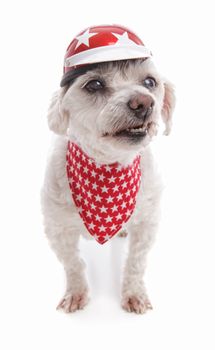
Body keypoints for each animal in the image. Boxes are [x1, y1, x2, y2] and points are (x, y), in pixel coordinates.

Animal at [41, 25, 176, 314]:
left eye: (150, 82)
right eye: (94, 84)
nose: (143, 102)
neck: (108, 167)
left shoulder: (147, 224)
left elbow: (136, 263)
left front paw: (134, 294)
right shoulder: (57, 228)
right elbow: (73, 264)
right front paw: (76, 293)